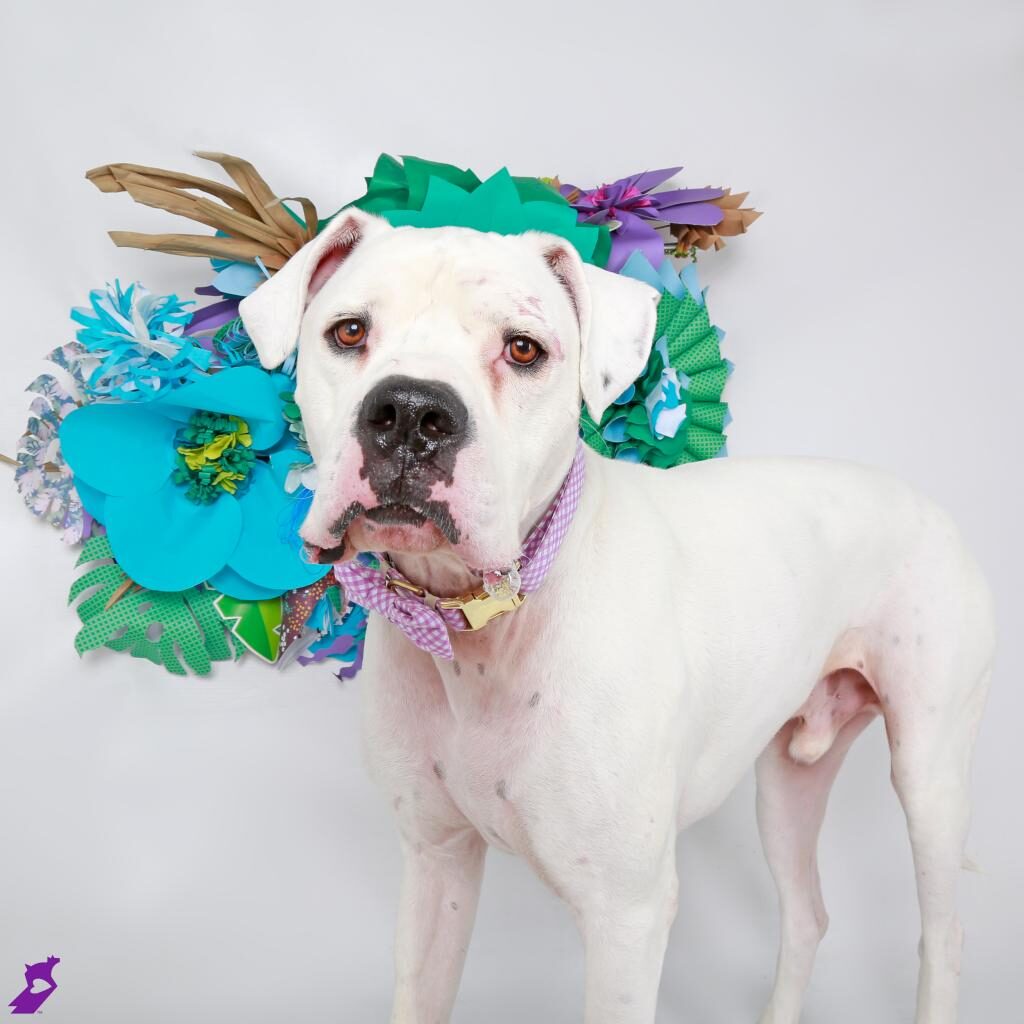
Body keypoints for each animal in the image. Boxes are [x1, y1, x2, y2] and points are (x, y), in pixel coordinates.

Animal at [237, 209, 991, 1024]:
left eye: (524, 349)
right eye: (348, 332)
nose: (410, 412)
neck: (480, 626)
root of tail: (926, 502)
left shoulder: (626, 917)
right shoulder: (436, 866)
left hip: (928, 776)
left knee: (943, 934)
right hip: (788, 782)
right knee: (807, 916)